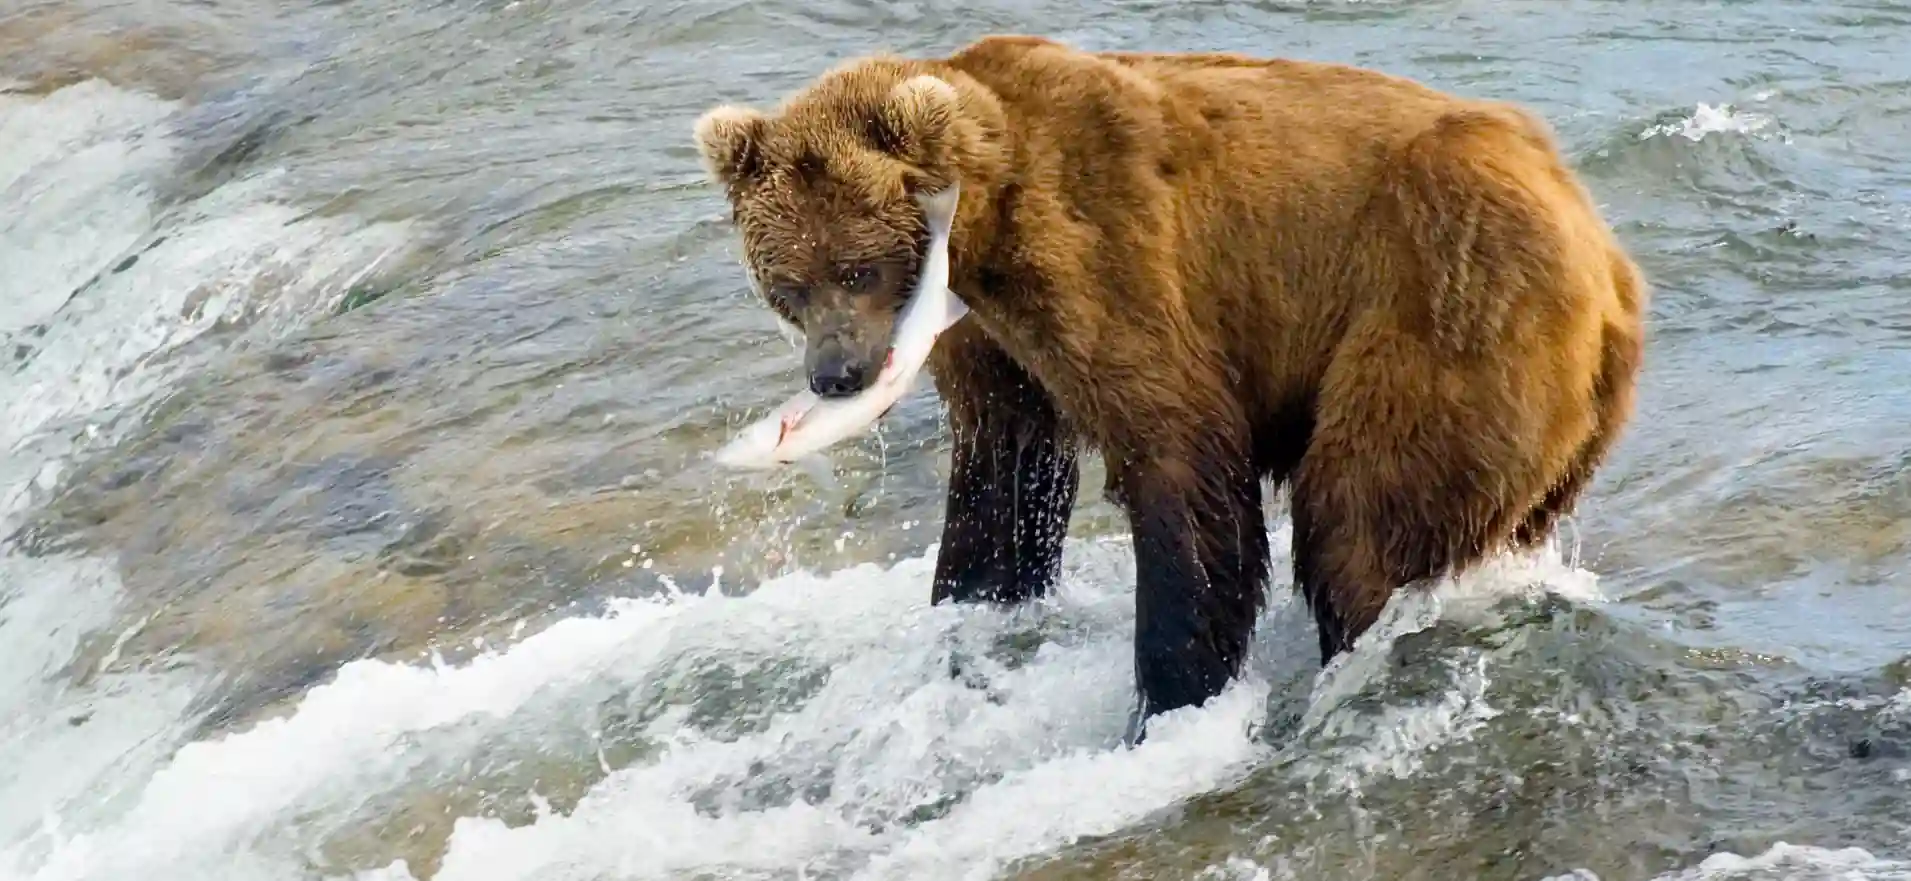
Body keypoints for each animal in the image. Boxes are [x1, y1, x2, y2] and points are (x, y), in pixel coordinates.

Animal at [691, 34, 1647, 736]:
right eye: (786, 282)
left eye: (855, 268)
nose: (836, 373)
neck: (978, 230)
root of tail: (1609, 261)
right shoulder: (986, 339)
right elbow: (1005, 471)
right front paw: (971, 608)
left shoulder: (1096, 253)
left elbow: (1178, 449)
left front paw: (1170, 698)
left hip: (1446, 305)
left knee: (1358, 515)